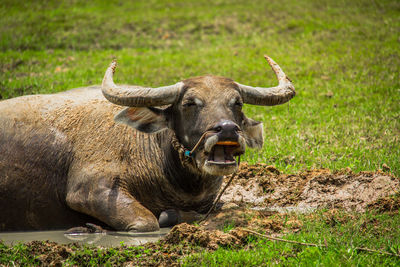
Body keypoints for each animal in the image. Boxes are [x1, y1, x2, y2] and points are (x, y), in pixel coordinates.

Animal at [0, 56, 294, 232]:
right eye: (190, 103)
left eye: (237, 102)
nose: (227, 129)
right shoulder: (89, 190)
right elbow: (147, 223)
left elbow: (230, 208)